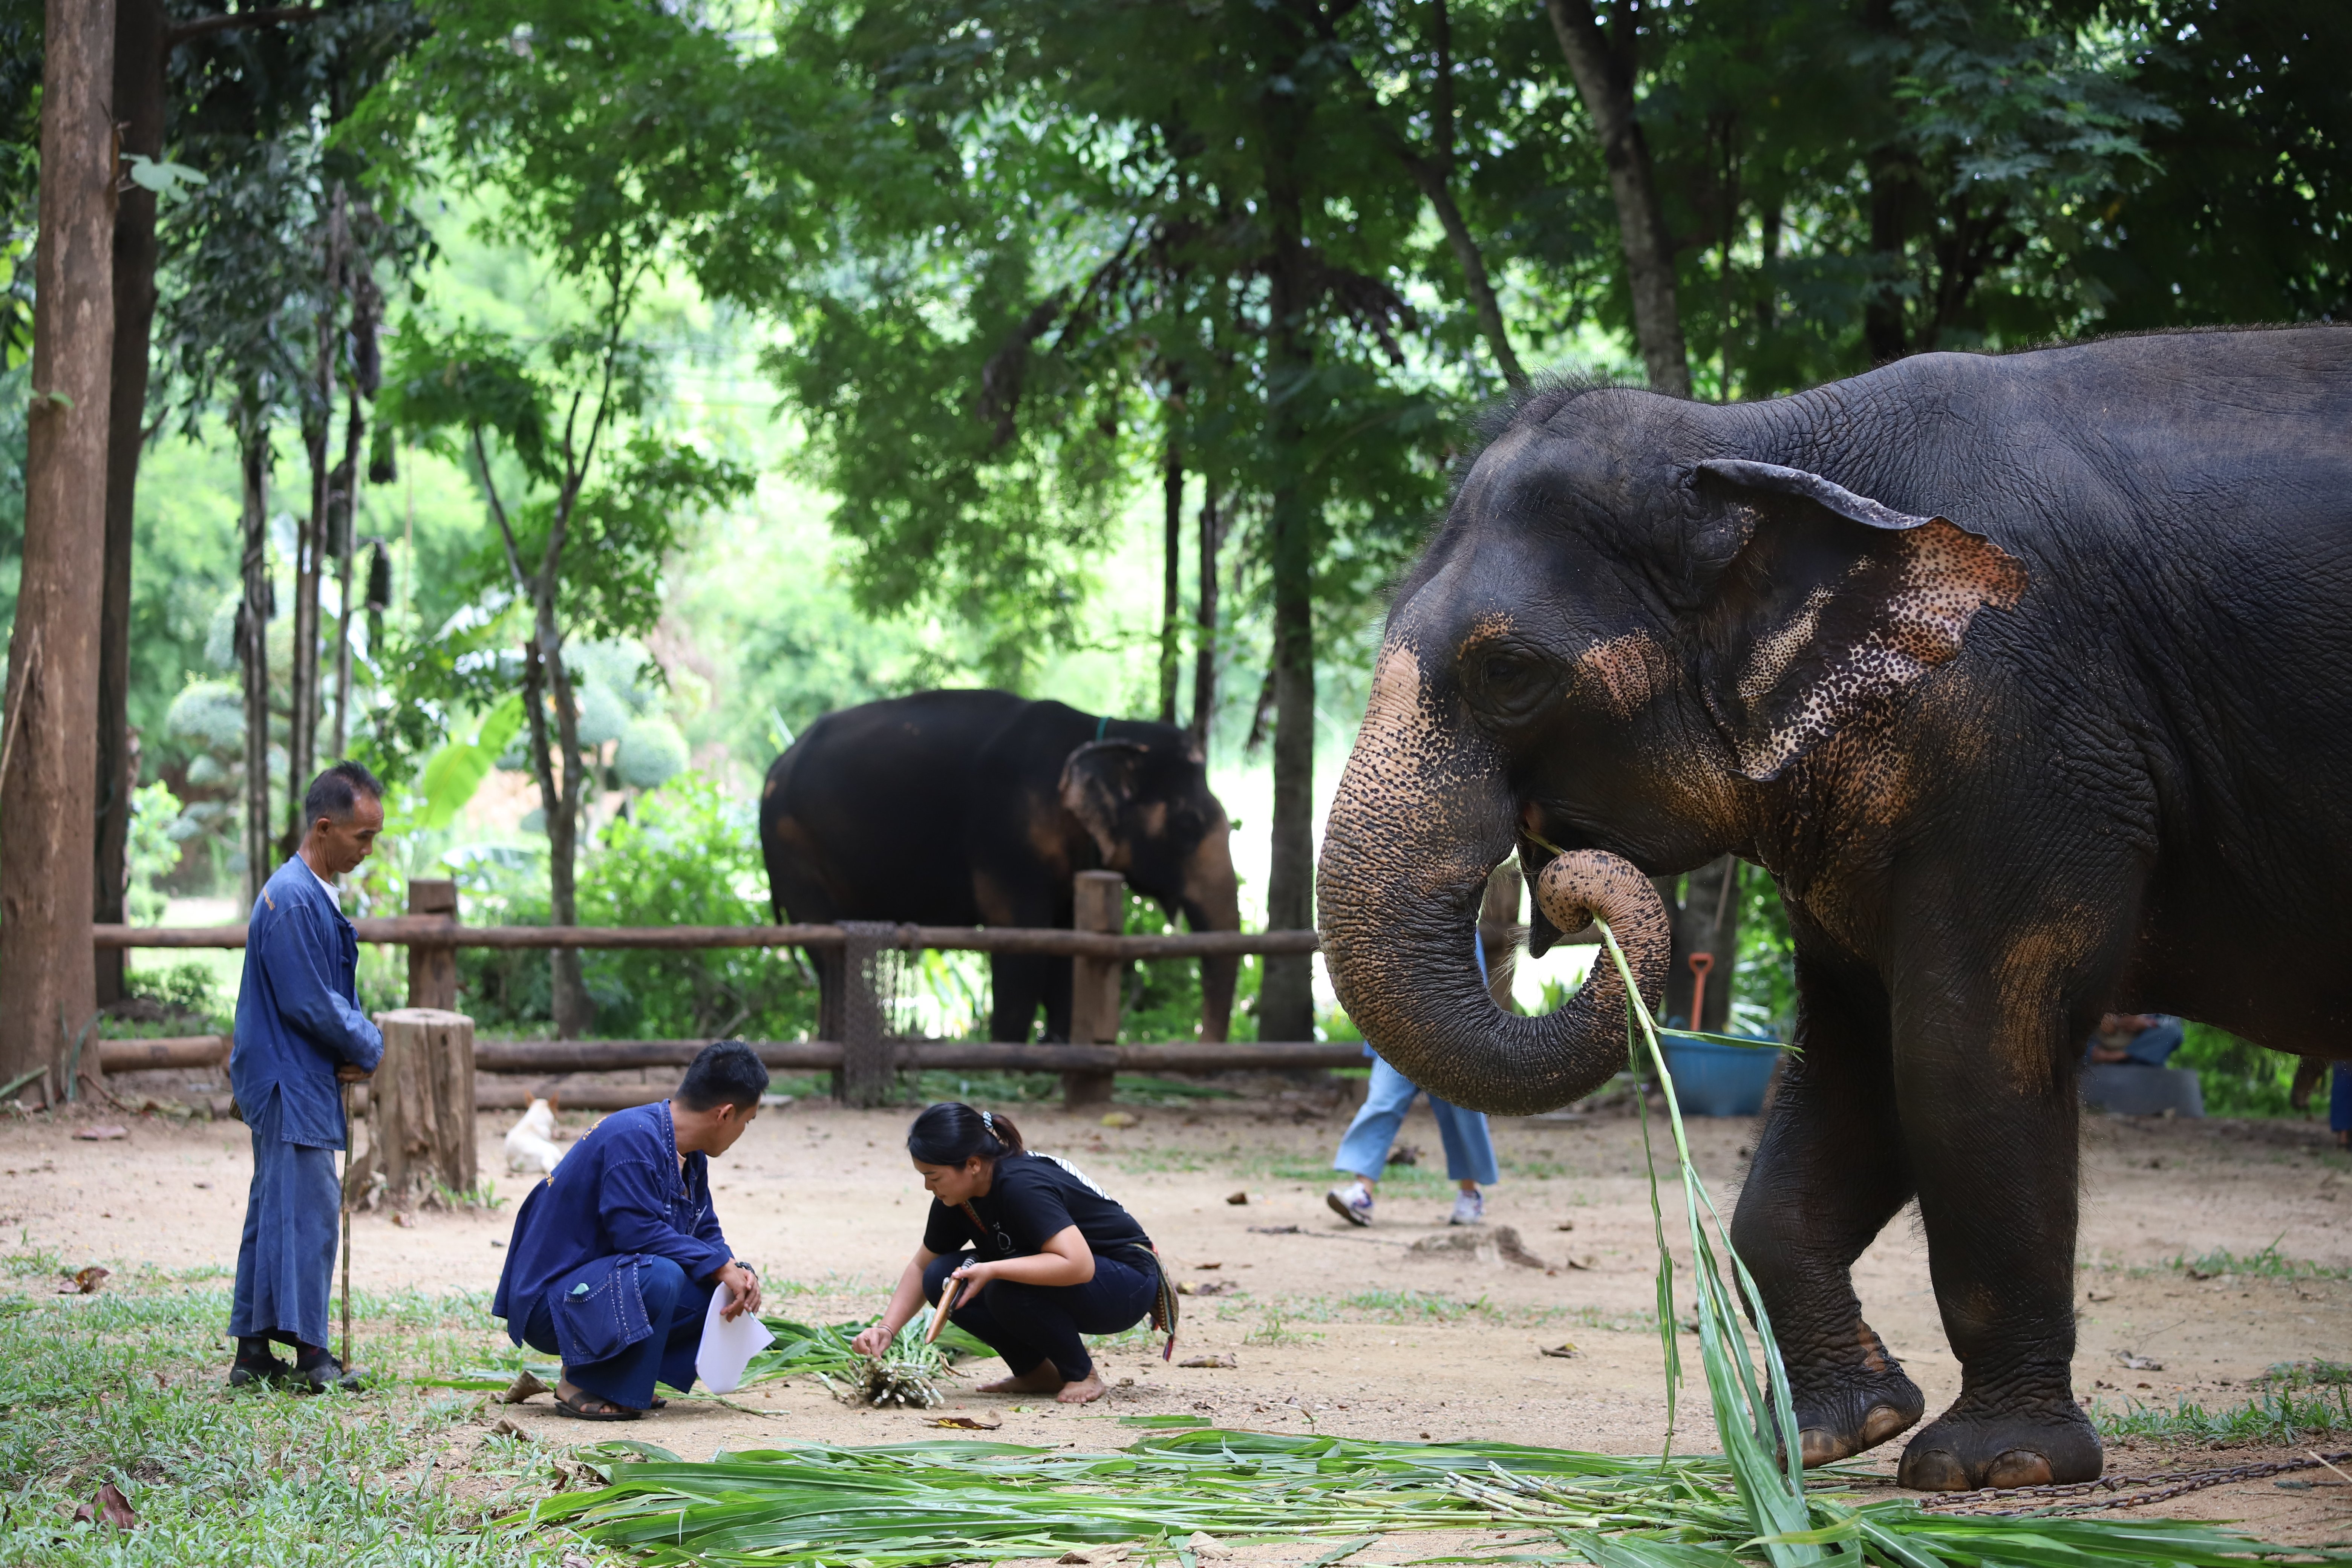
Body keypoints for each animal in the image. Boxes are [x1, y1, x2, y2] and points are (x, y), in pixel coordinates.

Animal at [757, 691, 1242, 1048]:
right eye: (1188, 825)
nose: (1200, 1048)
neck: (1100, 733)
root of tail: (777, 764)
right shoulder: (1007, 838)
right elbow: (1021, 943)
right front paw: (1009, 1054)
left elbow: (1066, 947)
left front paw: (1058, 1046)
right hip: (792, 849)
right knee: (829, 952)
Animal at [1317, 329, 2352, 1495]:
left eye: (1508, 670)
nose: (1565, 889)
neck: (1758, 438)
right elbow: (1853, 1058)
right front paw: (1823, 1438)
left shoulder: (2024, 737)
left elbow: (1958, 1052)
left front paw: (1995, 1467)